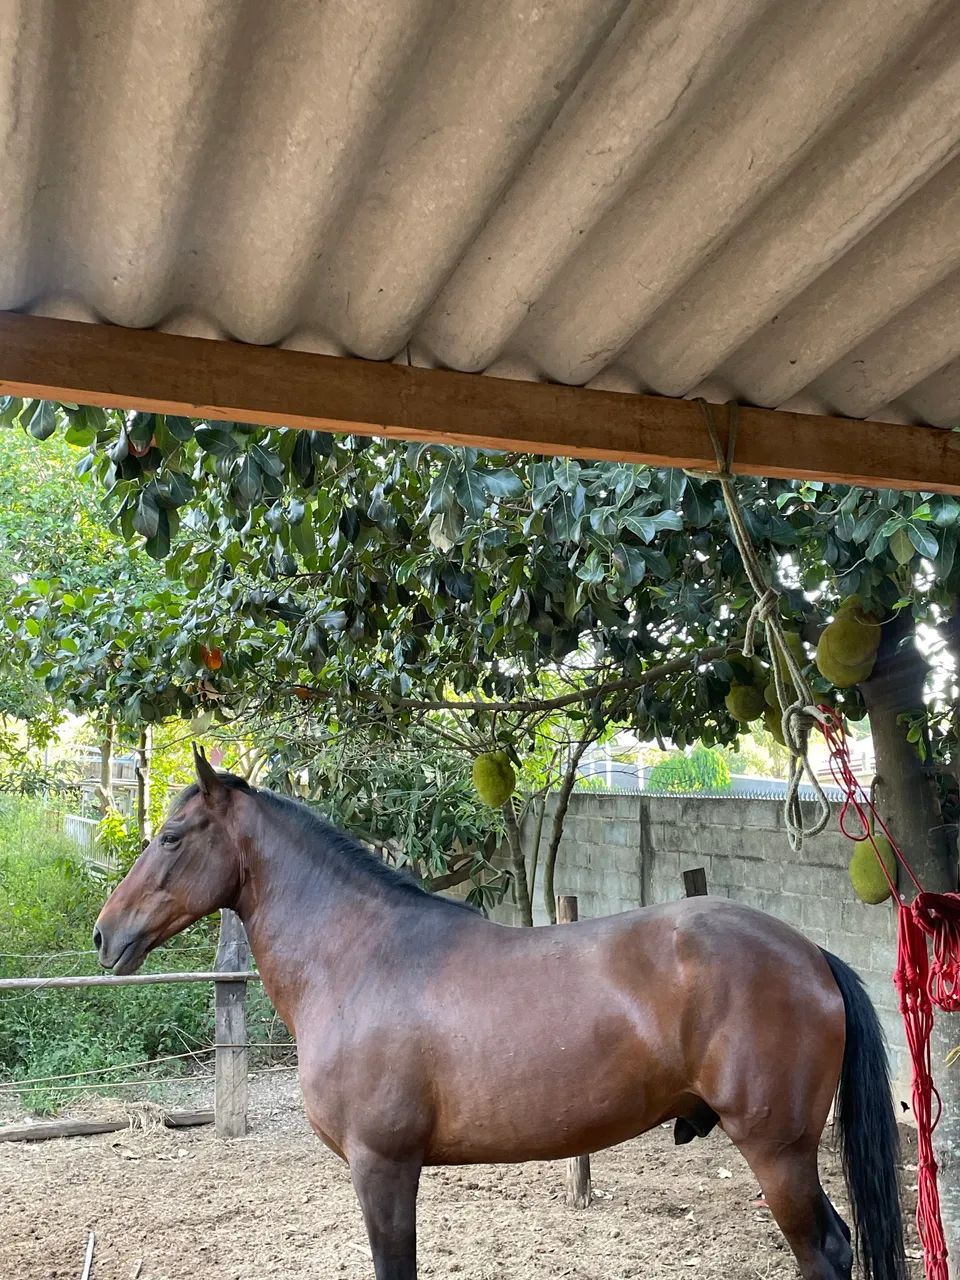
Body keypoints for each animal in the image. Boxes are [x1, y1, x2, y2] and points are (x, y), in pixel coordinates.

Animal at [93, 747, 906, 1280]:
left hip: (779, 1154)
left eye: (170, 837)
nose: (106, 935)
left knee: (825, 1251)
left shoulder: (381, 1167)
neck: (359, 956)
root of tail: (809, 954)